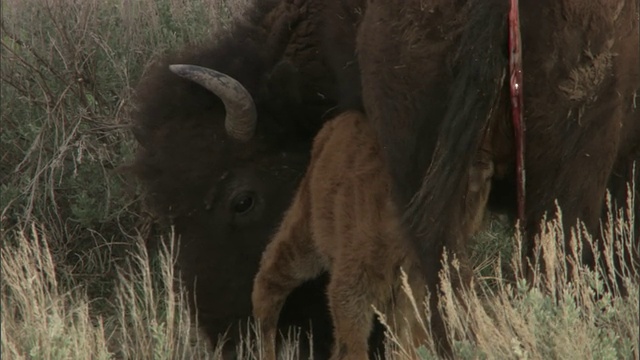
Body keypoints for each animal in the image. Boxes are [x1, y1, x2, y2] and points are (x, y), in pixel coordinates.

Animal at [252, 111, 492, 358]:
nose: (484, 163)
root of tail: (337, 121)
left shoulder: (413, 291)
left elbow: (408, 341)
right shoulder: (352, 286)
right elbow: (354, 345)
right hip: (305, 237)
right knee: (269, 276)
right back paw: (265, 348)